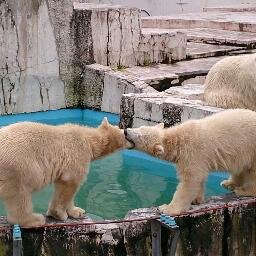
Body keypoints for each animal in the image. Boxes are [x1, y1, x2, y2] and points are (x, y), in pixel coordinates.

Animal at [0, 117, 132, 227]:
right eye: (123, 132)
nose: (127, 131)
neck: (89, 140)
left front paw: (78, 211)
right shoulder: (77, 155)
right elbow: (70, 184)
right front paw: (59, 214)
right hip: (18, 167)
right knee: (20, 195)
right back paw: (34, 219)